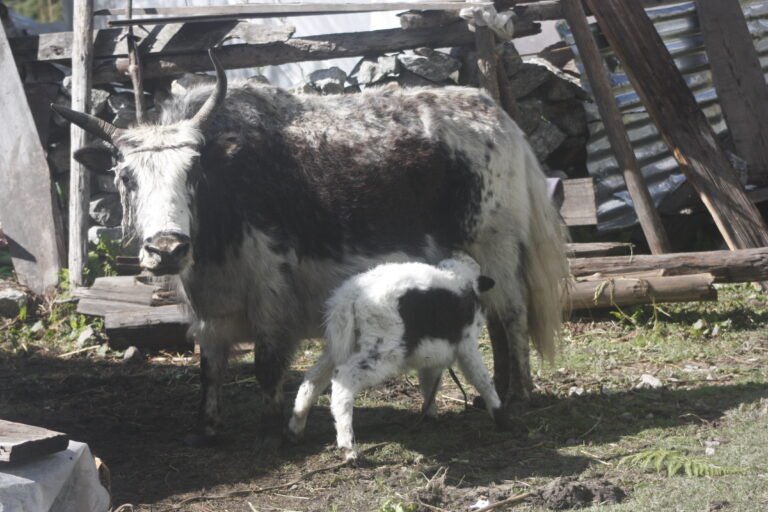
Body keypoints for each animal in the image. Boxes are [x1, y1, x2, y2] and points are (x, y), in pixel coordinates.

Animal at [288, 256, 504, 460]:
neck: (461, 278)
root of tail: (348, 297)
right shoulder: (467, 344)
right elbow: (481, 378)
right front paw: (499, 412)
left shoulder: (433, 357)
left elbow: (429, 383)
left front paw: (430, 414)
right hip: (383, 348)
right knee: (344, 378)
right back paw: (347, 446)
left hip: (342, 342)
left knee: (314, 378)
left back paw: (297, 426)